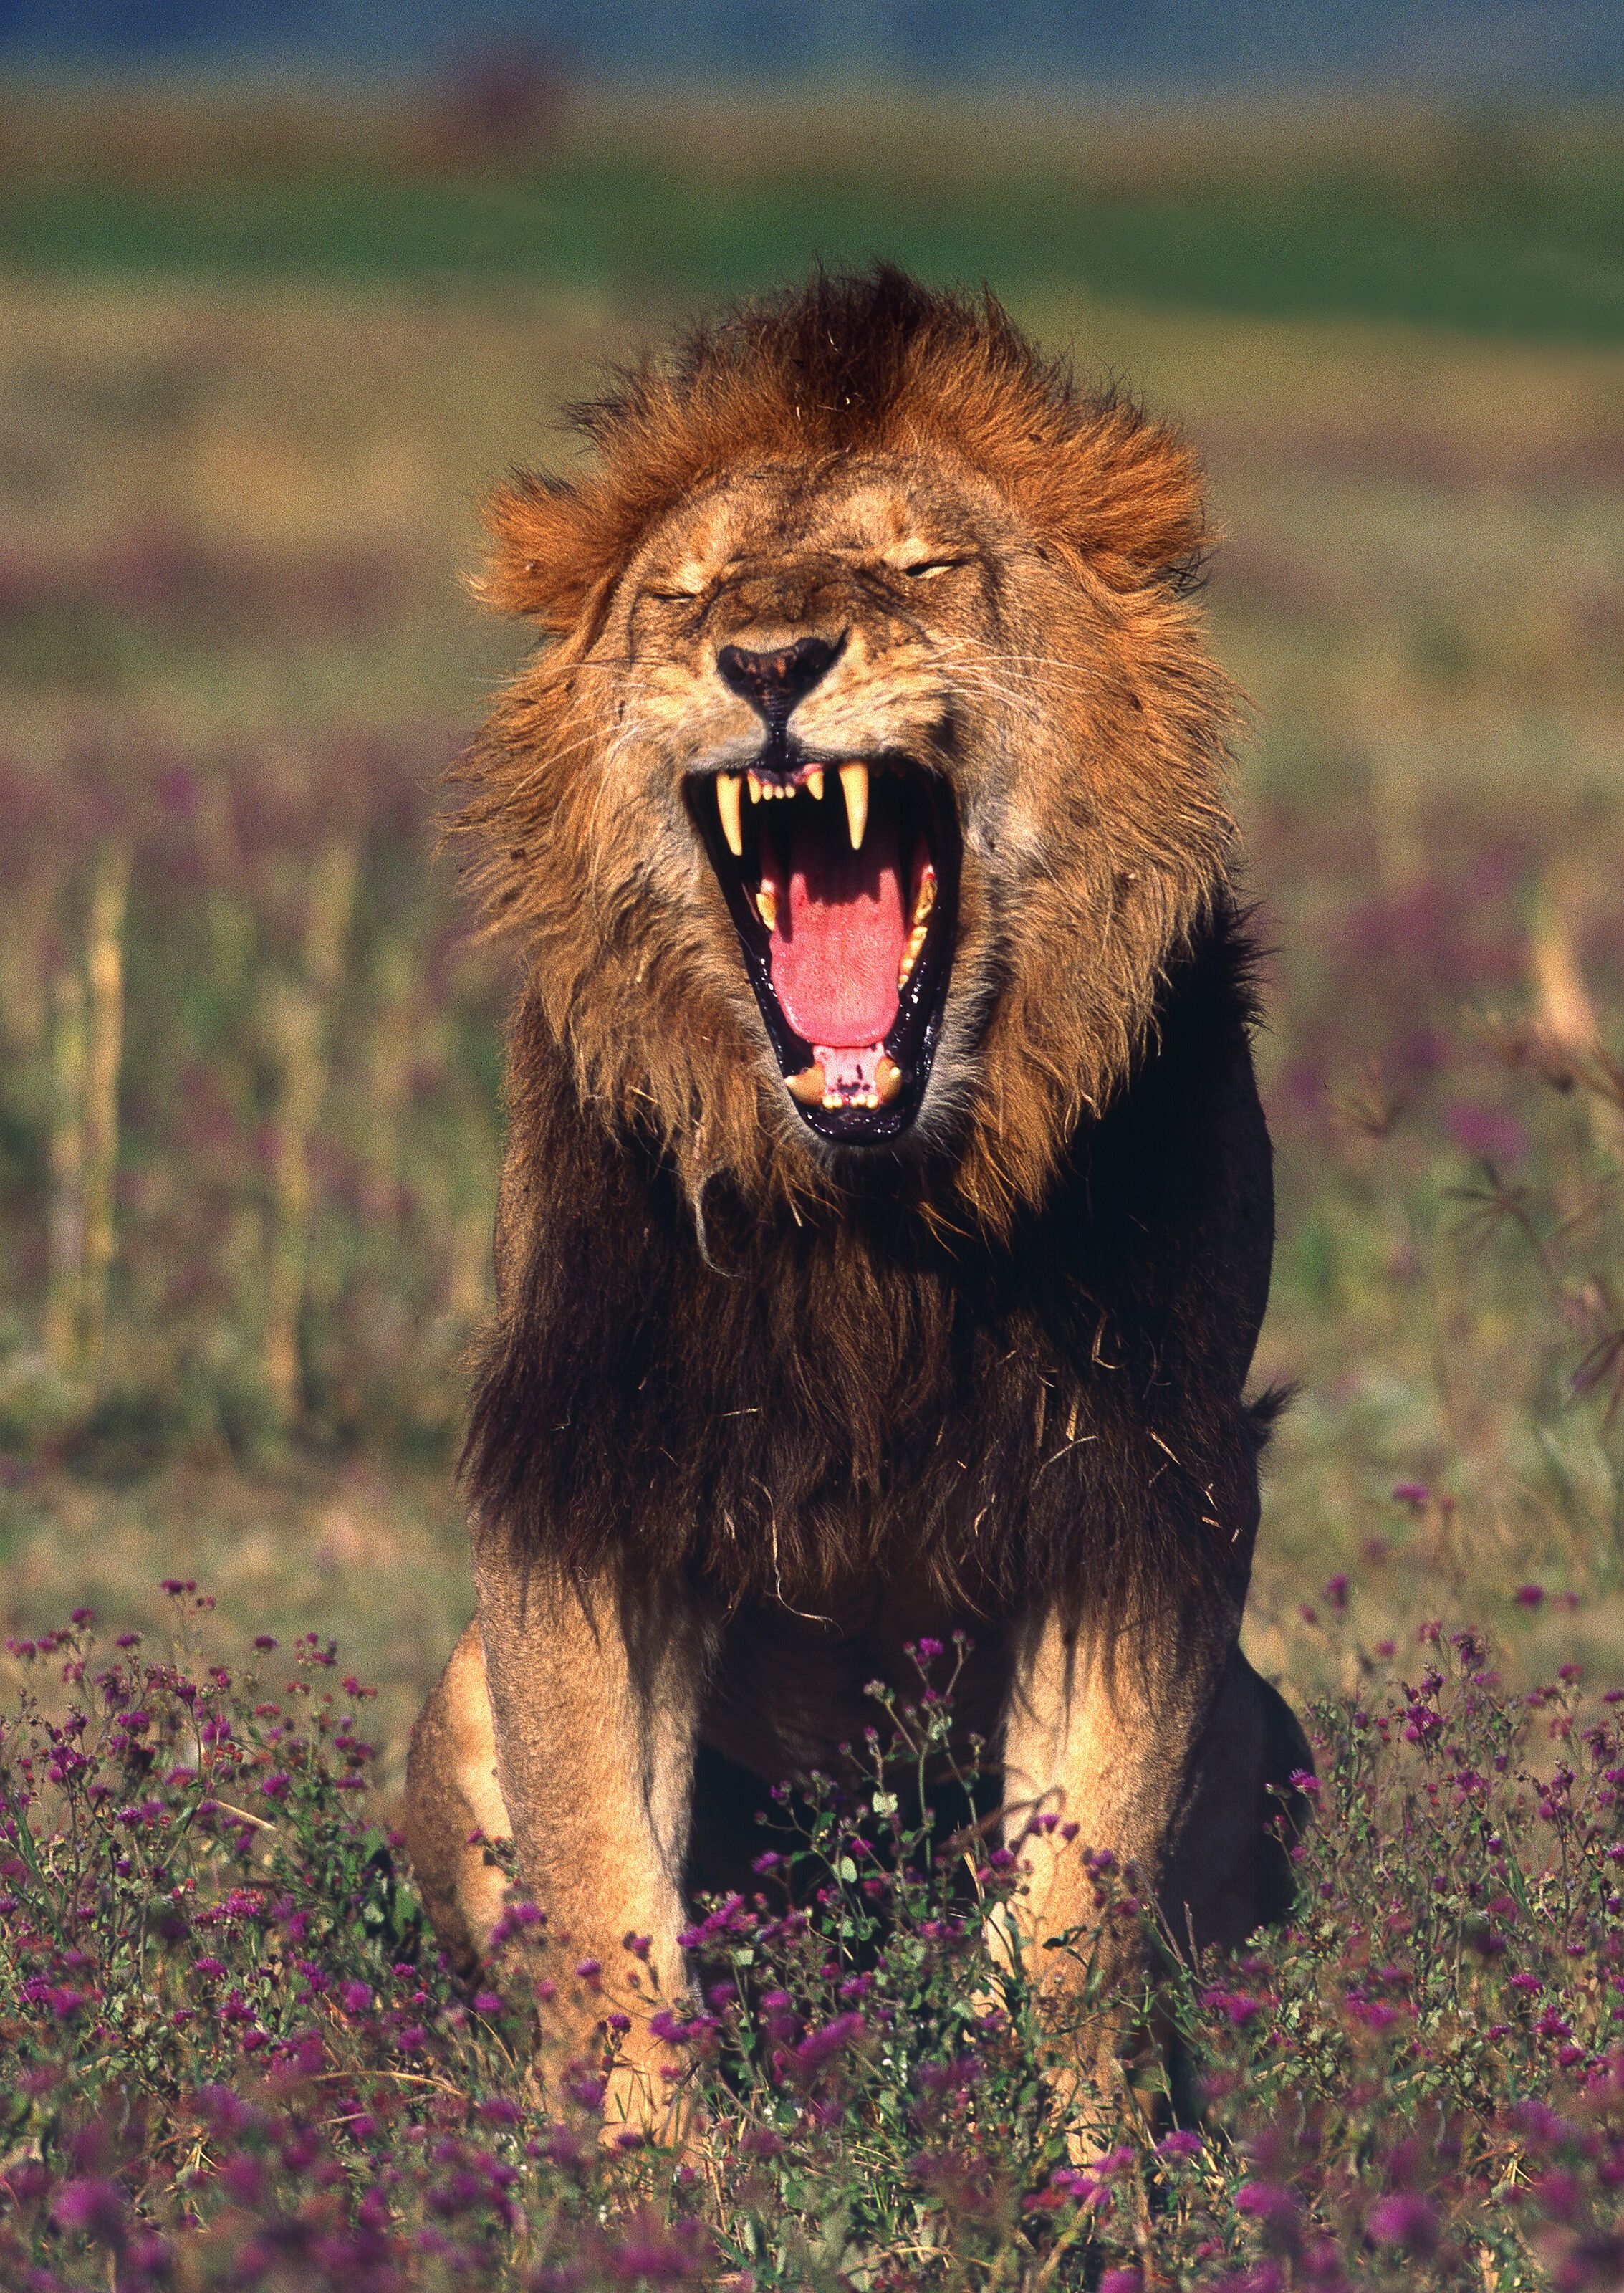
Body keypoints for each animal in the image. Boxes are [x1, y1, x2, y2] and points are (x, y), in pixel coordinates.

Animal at [403, 266, 1309, 2133]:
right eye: (680, 599)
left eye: (919, 568)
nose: (764, 663)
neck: (872, 1213)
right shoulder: (581, 1461)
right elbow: (603, 1888)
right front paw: (641, 2171)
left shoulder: (1140, 1486)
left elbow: (1070, 1910)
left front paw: (1065, 2165)